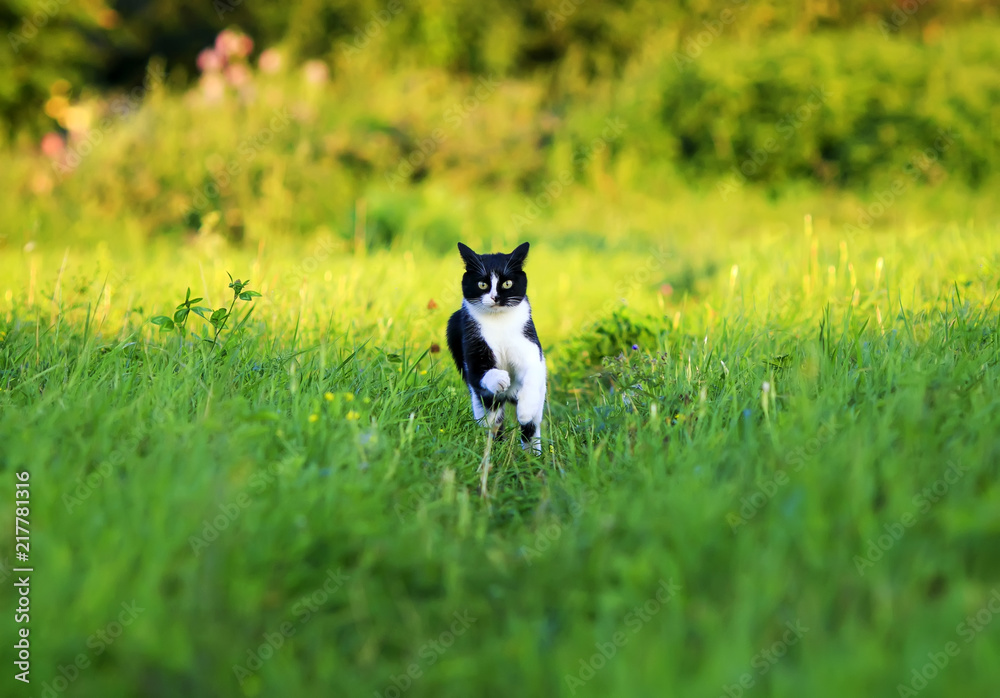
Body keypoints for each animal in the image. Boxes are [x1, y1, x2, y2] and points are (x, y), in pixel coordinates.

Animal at [448, 241, 548, 456]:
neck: (499, 321)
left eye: (507, 284)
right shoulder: (473, 341)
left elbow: (532, 371)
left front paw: (525, 410)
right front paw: (500, 379)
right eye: (482, 284)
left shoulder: (529, 343)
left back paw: (533, 455)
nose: (494, 297)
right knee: (490, 417)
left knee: (532, 426)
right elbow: (480, 372)